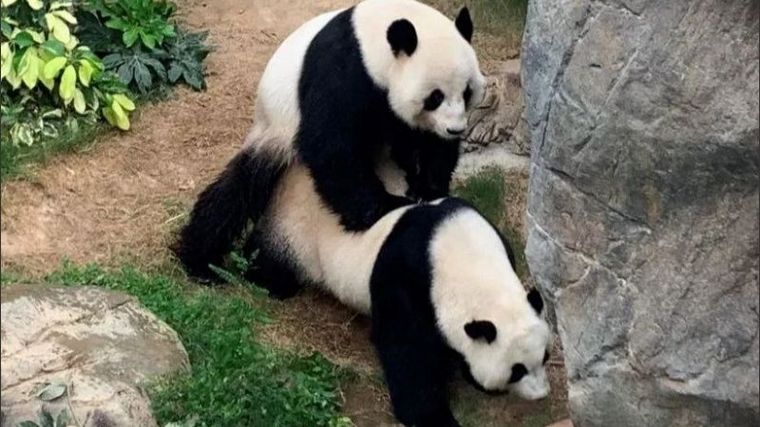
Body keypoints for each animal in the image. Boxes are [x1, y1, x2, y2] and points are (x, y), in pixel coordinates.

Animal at [175, 0, 486, 279]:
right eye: (435, 97)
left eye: (467, 92)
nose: (455, 129)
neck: (373, 41)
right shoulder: (343, 70)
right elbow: (330, 145)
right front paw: (384, 206)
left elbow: (428, 144)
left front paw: (429, 188)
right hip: (274, 130)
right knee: (237, 191)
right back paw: (201, 261)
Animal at [245, 159, 552, 427]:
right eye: (517, 370)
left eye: (545, 357)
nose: (541, 395)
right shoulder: (406, 276)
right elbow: (406, 349)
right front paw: (433, 417)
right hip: (295, 230)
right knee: (271, 261)